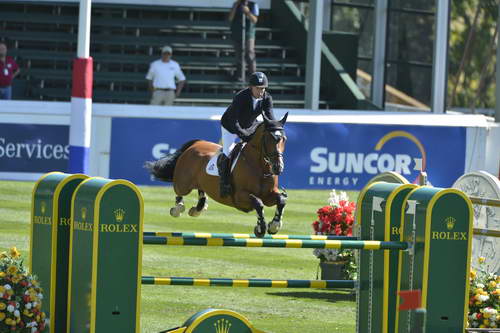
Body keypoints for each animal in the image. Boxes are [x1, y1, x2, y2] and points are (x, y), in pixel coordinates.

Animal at [144, 113, 290, 237]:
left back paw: (199, 208)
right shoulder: (240, 196)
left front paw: (274, 225)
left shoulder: (268, 195)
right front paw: (261, 228)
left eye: (284, 139)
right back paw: (178, 209)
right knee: (179, 191)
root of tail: (195, 144)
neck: (259, 167)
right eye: (269, 139)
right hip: (183, 183)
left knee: (201, 189)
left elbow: (281, 200)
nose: (278, 167)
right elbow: (258, 203)